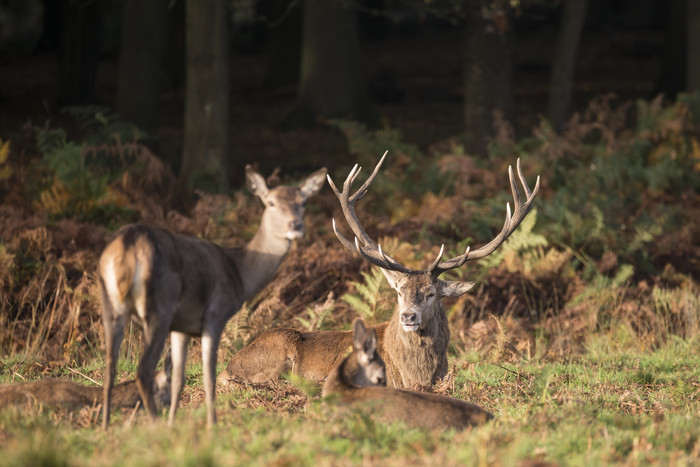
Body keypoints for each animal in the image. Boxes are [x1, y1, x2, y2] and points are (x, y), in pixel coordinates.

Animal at [98, 165, 326, 428]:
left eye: (303, 202)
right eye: (270, 202)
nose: (295, 225)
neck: (239, 273)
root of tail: (128, 245)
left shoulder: (181, 326)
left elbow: (178, 378)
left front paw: (174, 422)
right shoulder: (215, 314)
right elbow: (209, 376)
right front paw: (211, 425)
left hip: (110, 304)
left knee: (110, 366)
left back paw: (105, 426)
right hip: (159, 307)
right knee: (143, 370)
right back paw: (155, 425)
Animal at [221, 154, 540, 392]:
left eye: (431, 293)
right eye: (399, 292)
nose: (408, 316)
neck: (417, 376)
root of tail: (229, 364)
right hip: (277, 349)